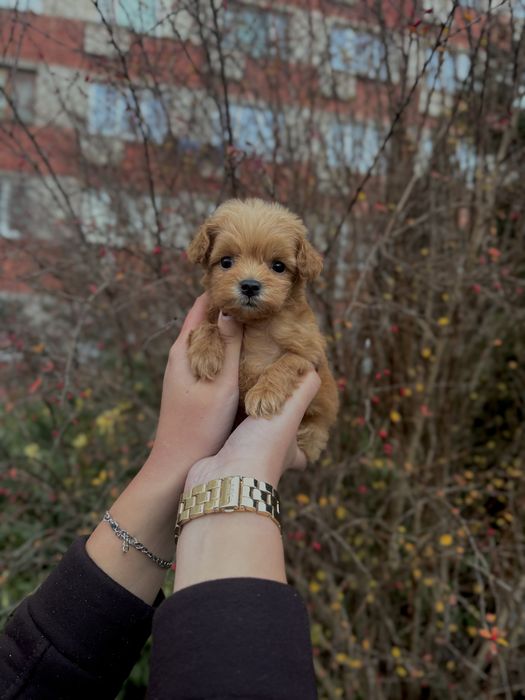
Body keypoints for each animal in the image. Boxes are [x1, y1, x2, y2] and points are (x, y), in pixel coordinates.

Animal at [186, 198, 339, 463]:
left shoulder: (309, 353)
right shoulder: (212, 313)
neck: (255, 323)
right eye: (226, 262)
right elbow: (207, 325)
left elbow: (283, 364)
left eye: (278, 266)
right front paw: (205, 353)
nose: (249, 286)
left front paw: (264, 394)